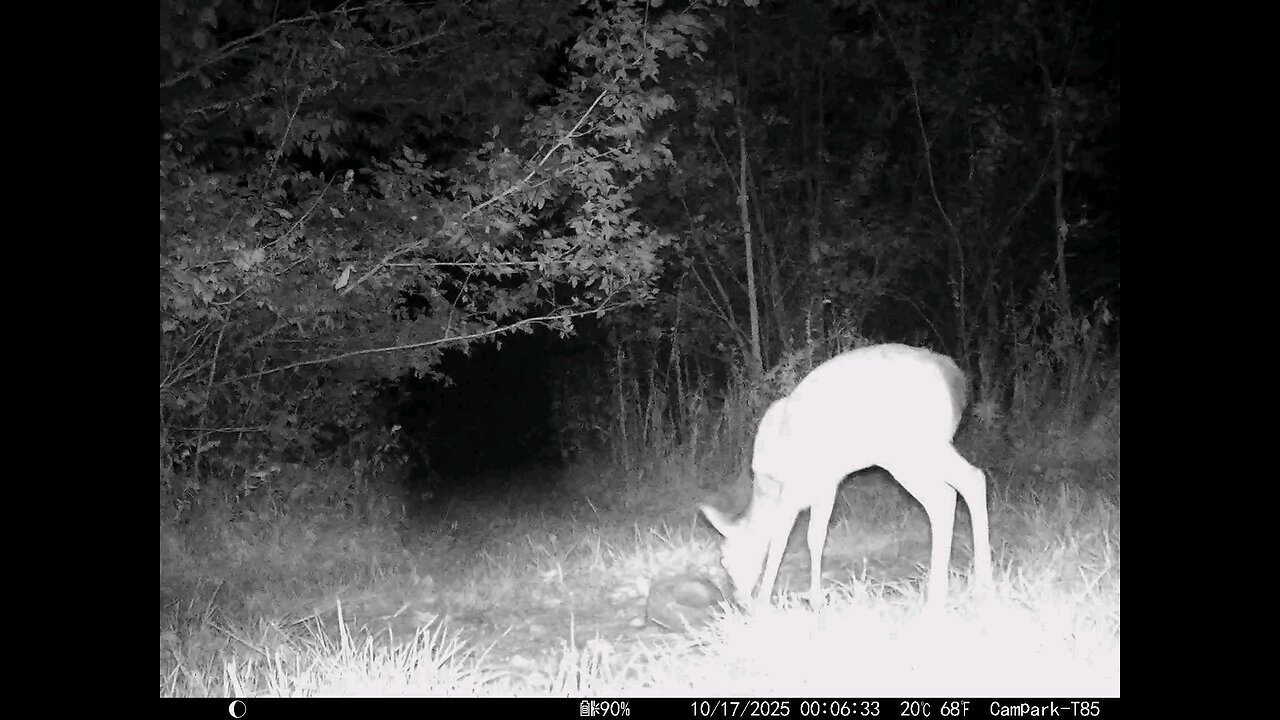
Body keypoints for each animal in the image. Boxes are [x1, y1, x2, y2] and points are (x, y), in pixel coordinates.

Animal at [700, 343, 993, 610]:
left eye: (726, 559)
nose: (738, 600)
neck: (767, 487)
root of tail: (954, 378)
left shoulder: (793, 488)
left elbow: (780, 539)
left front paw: (763, 601)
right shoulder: (826, 487)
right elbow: (815, 538)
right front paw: (815, 599)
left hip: (910, 451)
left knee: (944, 496)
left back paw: (939, 593)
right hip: (931, 447)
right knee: (971, 480)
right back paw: (980, 584)